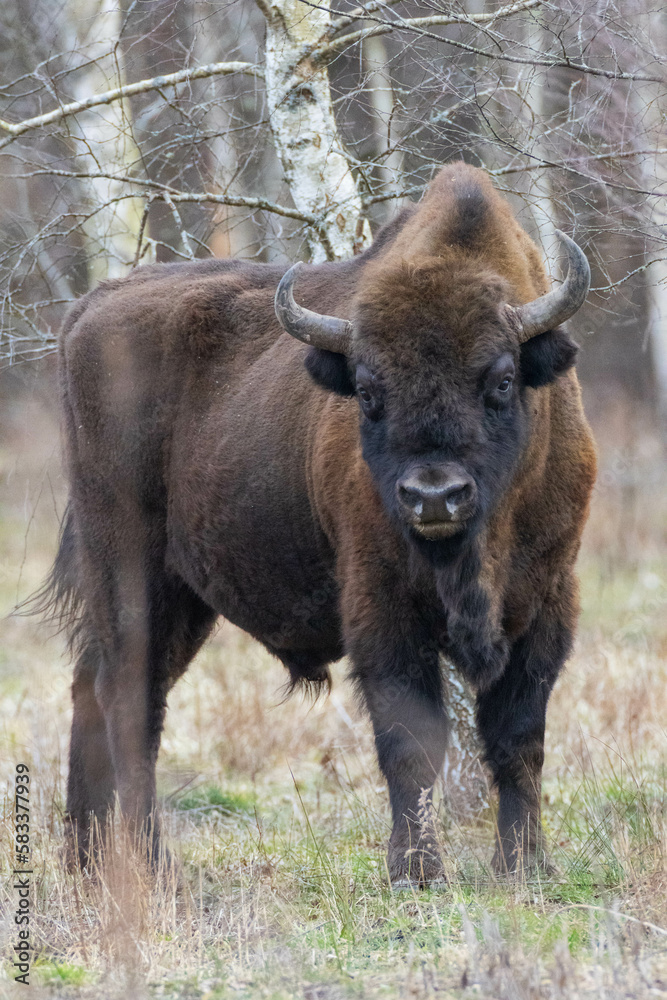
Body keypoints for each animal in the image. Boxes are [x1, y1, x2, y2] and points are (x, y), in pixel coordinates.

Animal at [43, 162, 596, 884]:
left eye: (501, 380)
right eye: (367, 389)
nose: (433, 496)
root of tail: (86, 312)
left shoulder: (547, 603)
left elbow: (517, 739)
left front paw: (526, 863)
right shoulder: (381, 608)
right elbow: (412, 742)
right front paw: (416, 870)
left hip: (181, 595)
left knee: (95, 685)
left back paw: (86, 861)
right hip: (130, 573)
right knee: (129, 702)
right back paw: (153, 865)